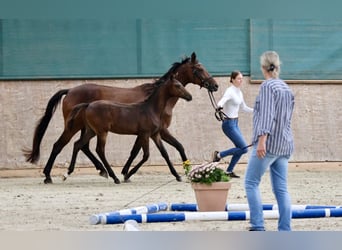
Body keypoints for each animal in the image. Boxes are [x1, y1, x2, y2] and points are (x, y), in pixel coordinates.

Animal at [22, 52, 218, 184]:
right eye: (198, 69)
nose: (214, 85)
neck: (155, 101)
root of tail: (69, 90)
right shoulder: (156, 131)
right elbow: (147, 151)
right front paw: (126, 173)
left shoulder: (152, 132)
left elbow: (167, 148)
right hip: (74, 127)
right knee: (60, 145)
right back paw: (48, 175)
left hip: (88, 129)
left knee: (82, 146)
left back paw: (102, 171)